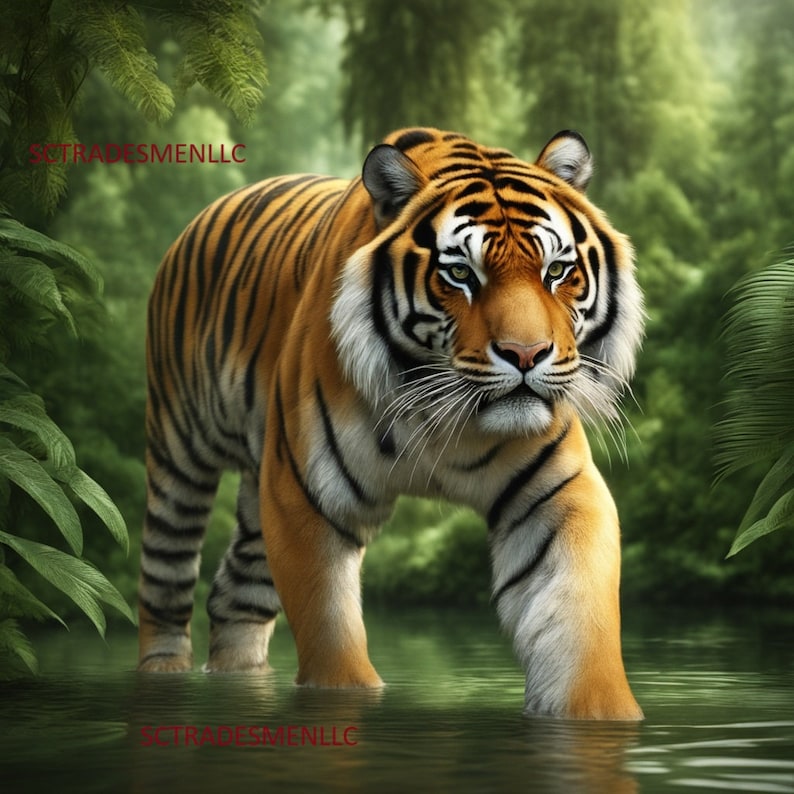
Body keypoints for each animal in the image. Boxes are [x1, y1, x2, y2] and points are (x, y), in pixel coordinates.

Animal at [138, 127, 645, 720]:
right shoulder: (306, 496)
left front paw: (602, 716)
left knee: (234, 595)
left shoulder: (557, 493)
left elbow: (577, 624)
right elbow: (329, 633)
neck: (446, 416)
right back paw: (161, 676)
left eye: (557, 271)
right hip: (181, 454)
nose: (526, 354)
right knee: (165, 579)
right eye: (460, 273)